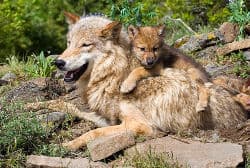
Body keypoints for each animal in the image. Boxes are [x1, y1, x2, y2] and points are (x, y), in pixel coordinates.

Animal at [27, 13, 246, 150]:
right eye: (69, 43)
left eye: (85, 45)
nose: (58, 62)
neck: (114, 75)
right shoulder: (107, 117)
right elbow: (67, 105)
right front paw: (34, 105)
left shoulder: (139, 126)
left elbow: (93, 133)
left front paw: (66, 145)